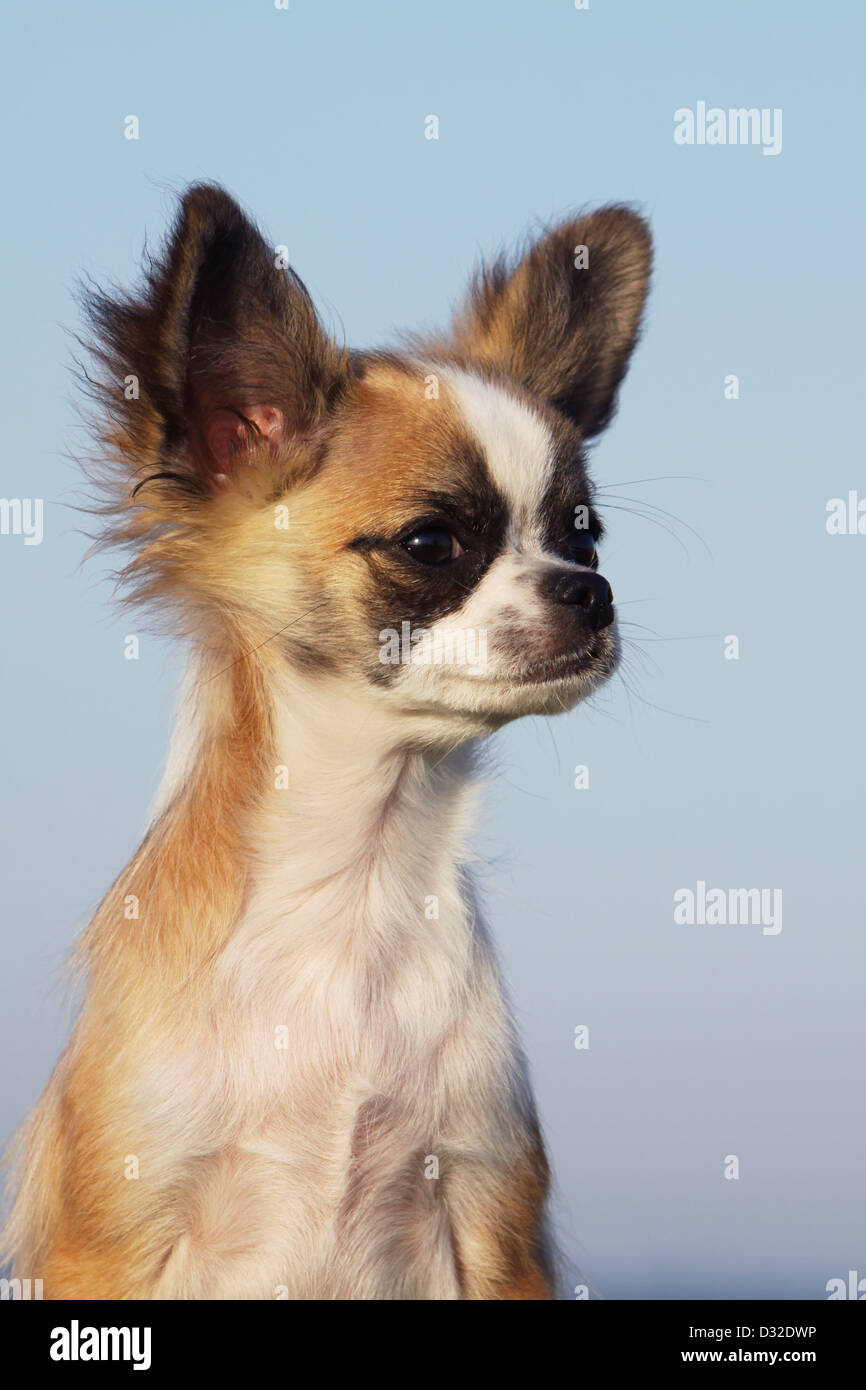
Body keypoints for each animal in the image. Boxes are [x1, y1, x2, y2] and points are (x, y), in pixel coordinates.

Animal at [1, 182, 650, 1289]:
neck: (360, 881)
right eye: (432, 542)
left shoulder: (494, 1213)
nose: (590, 594)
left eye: (584, 535)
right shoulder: (109, 1238)